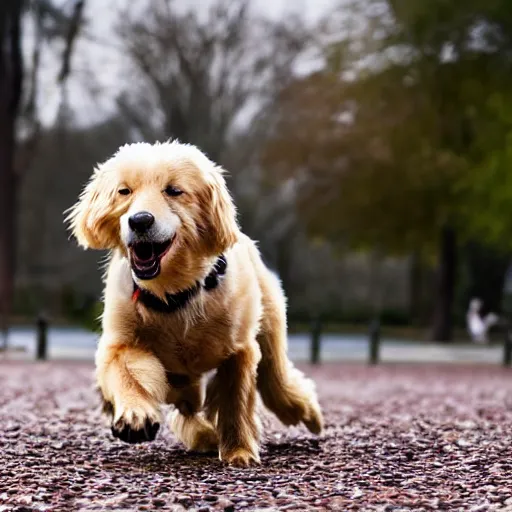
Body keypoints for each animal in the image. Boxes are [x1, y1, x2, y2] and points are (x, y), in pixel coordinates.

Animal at [67, 139, 324, 464]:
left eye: (174, 190)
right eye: (124, 191)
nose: (140, 220)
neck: (174, 293)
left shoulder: (239, 350)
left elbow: (235, 402)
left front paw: (239, 451)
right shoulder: (122, 341)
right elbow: (128, 375)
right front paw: (135, 416)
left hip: (269, 325)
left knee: (274, 379)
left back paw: (306, 413)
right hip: (180, 376)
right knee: (187, 404)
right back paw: (201, 434)